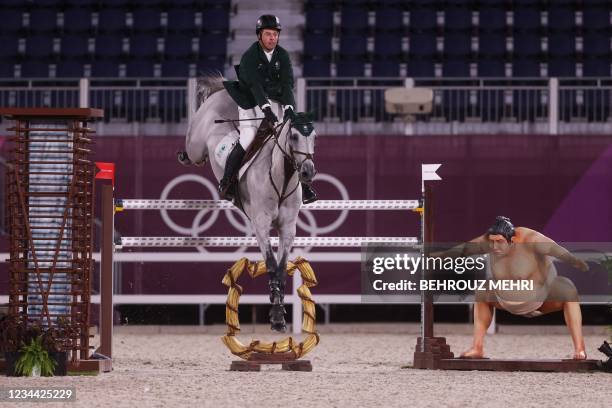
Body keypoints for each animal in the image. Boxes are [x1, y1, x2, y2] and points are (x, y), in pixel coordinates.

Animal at [179, 75, 318, 334]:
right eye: (294, 136)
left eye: (314, 137)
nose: (307, 172)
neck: (281, 177)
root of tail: (222, 91)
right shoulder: (261, 225)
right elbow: (271, 265)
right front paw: (276, 317)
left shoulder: (287, 228)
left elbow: (281, 268)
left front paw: (278, 310)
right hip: (196, 144)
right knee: (193, 153)